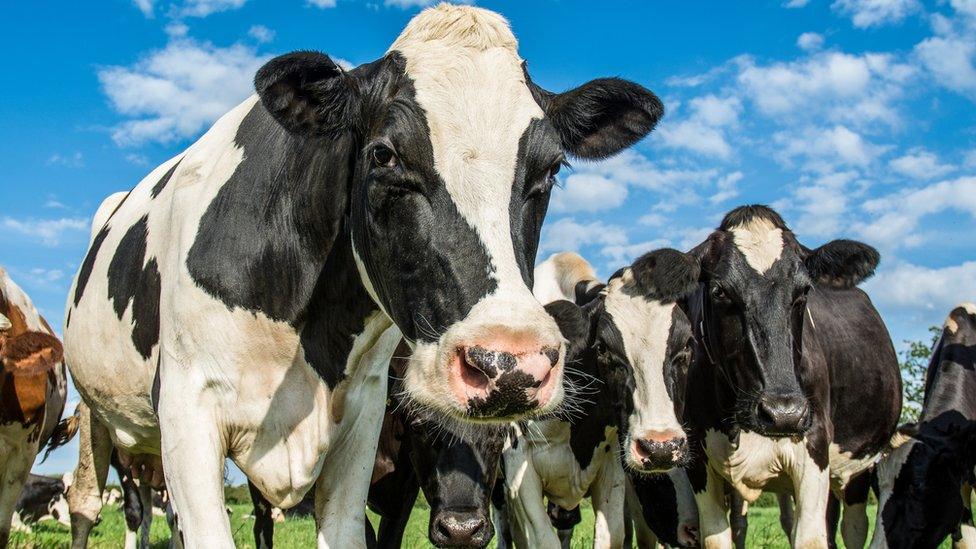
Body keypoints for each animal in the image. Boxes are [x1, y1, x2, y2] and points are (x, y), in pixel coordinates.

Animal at [61, 5, 664, 548]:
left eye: (551, 169)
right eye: (385, 155)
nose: (509, 365)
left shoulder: (364, 416)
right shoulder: (188, 408)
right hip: (98, 414)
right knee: (97, 503)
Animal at [504, 252, 700, 548]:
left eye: (687, 344)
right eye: (603, 348)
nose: (661, 448)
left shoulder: (611, 462)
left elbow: (612, 535)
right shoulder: (517, 464)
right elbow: (541, 538)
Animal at [664, 203, 900, 544]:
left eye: (804, 291)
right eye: (720, 291)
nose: (783, 413)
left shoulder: (815, 448)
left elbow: (811, 538)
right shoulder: (699, 459)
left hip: (857, 467)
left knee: (851, 526)